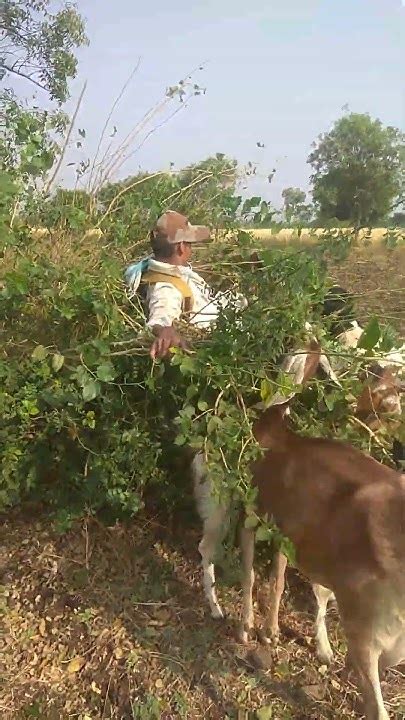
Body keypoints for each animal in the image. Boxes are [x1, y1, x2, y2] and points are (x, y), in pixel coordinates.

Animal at [240, 394, 404, 720]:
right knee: (251, 567)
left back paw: (301, 641)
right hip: (257, 513)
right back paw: (249, 626)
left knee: (290, 582)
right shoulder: (365, 636)